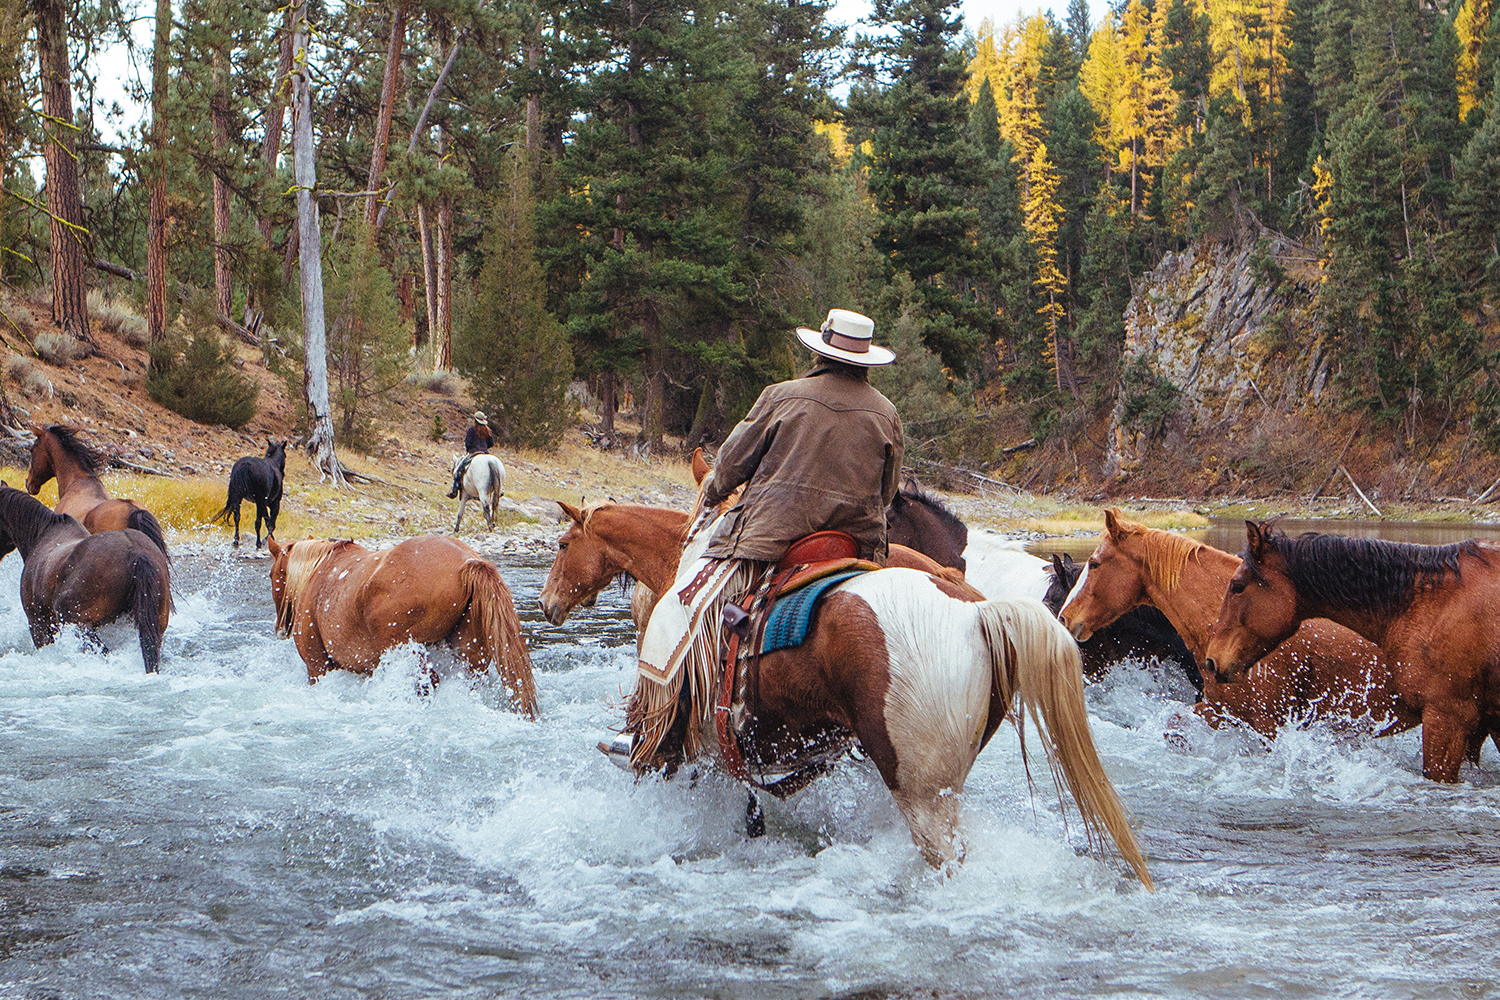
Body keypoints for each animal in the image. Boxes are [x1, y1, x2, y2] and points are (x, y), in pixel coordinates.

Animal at [267, 536, 537, 716]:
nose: (280, 628)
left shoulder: (317, 667)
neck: (319, 571)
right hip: (472, 657)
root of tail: (467, 563)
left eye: (271, 575)